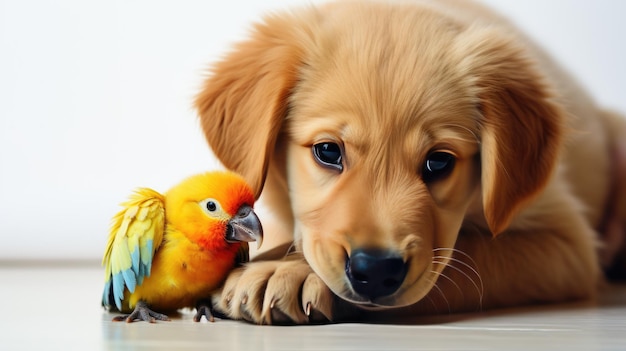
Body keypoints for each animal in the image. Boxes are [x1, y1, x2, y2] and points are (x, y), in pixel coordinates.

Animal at [195, 0, 624, 324]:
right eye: (328, 151)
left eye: (439, 162)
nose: (375, 270)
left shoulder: (567, 244)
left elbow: (465, 257)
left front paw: (285, 270)